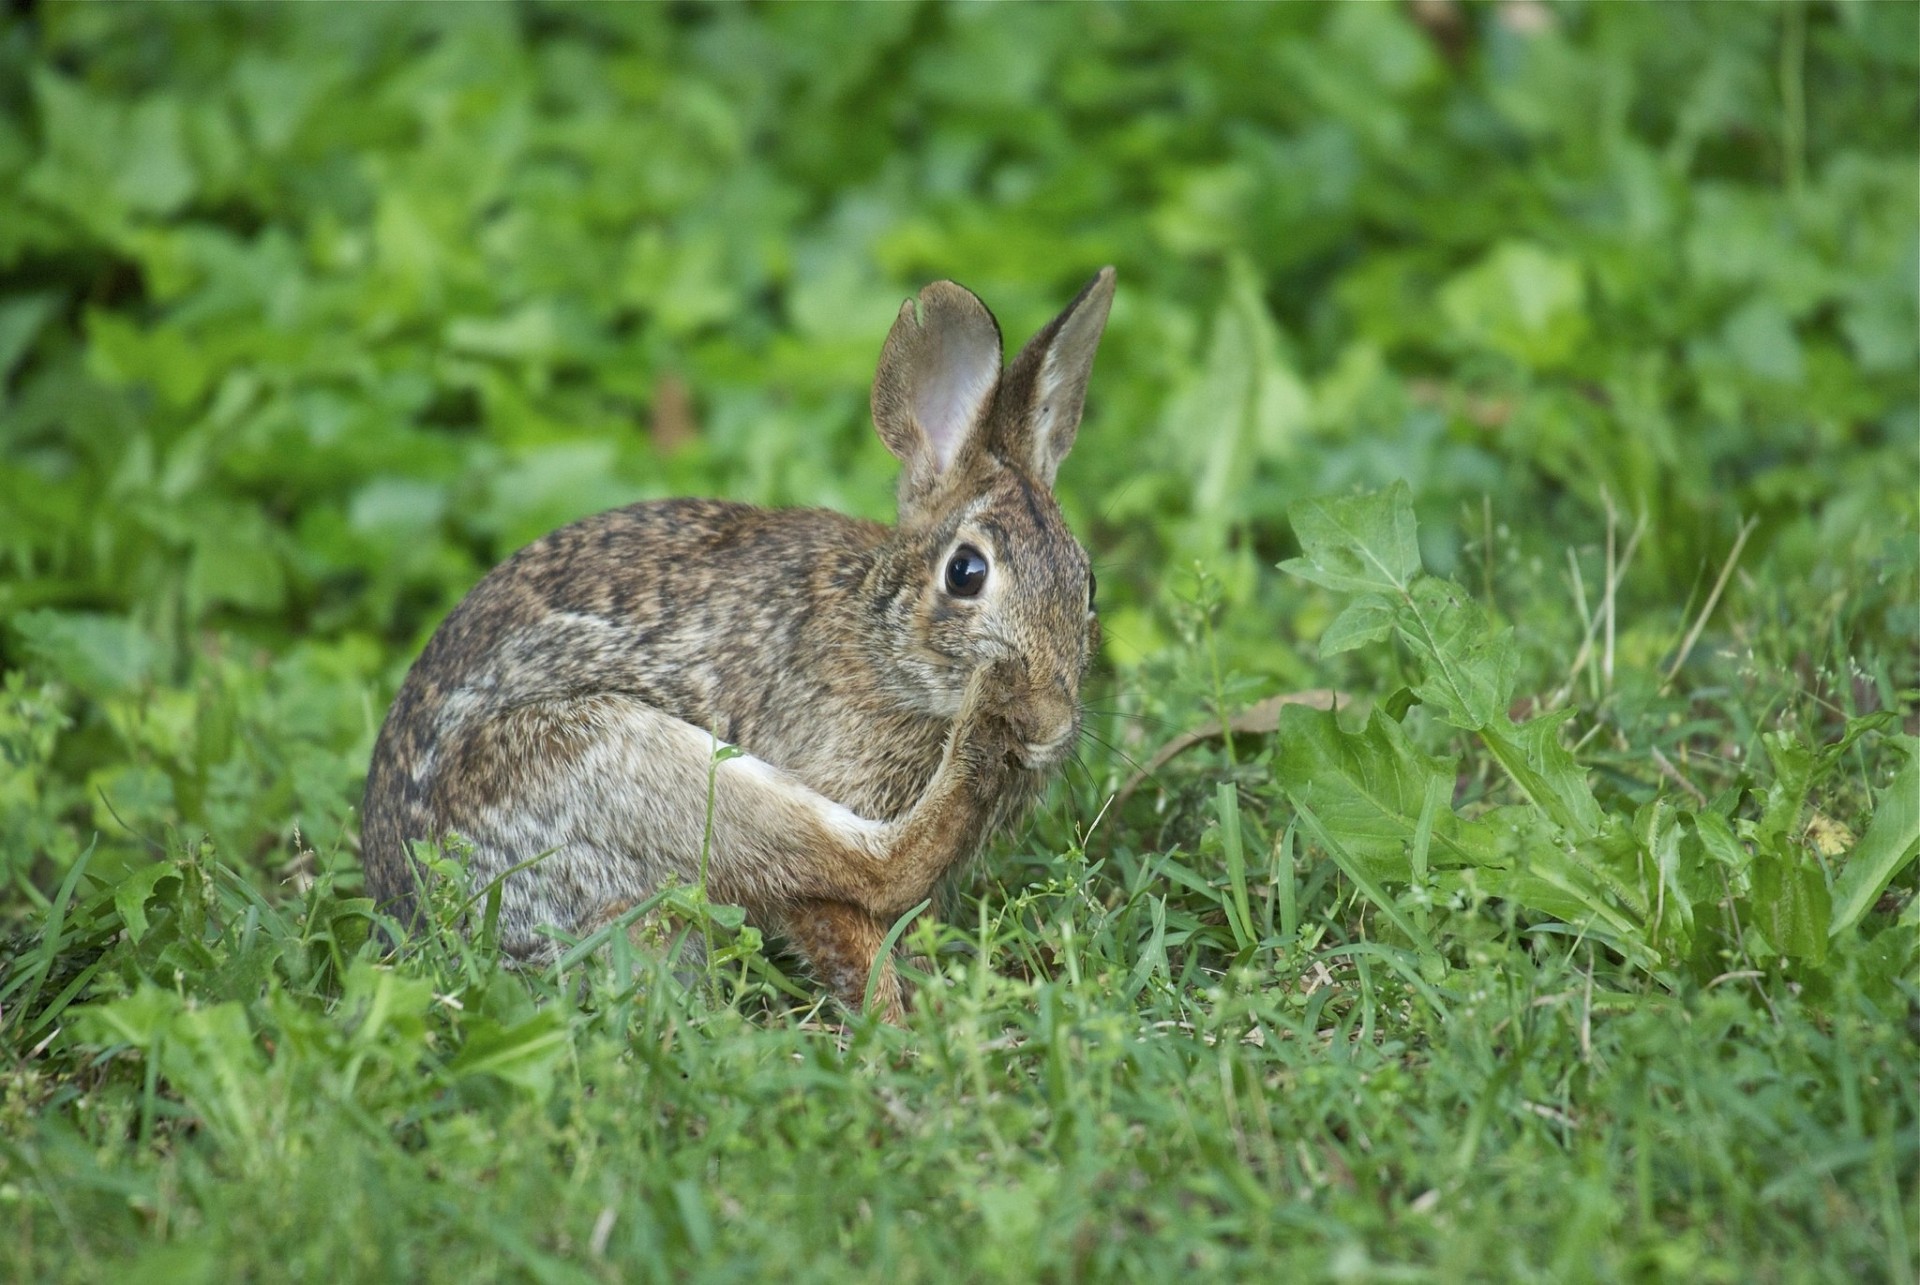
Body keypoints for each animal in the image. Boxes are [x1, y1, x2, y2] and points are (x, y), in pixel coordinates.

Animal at [361, 267, 1115, 1020]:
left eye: (1089, 584)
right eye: (965, 573)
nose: (1046, 724)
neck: (886, 644)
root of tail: (420, 919)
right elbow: (845, 920)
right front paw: (892, 1024)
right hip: (611, 757)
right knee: (869, 864)